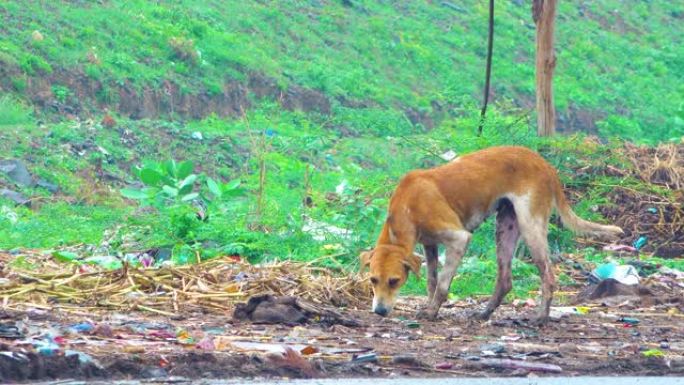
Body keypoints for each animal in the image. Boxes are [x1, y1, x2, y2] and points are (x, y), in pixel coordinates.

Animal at [360, 146, 624, 322]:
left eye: (394, 281)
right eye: (373, 280)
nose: (379, 312)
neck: (407, 206)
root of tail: (545, 164)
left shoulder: (458, 238)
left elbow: (443, 284)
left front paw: (433, 311)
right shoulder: (428, 245)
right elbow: (431, 281)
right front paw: (428, 305)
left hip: (531, 227)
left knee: (548, 276)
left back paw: (540, 317)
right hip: (505, 228)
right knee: (505, 280)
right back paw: (486, 312)